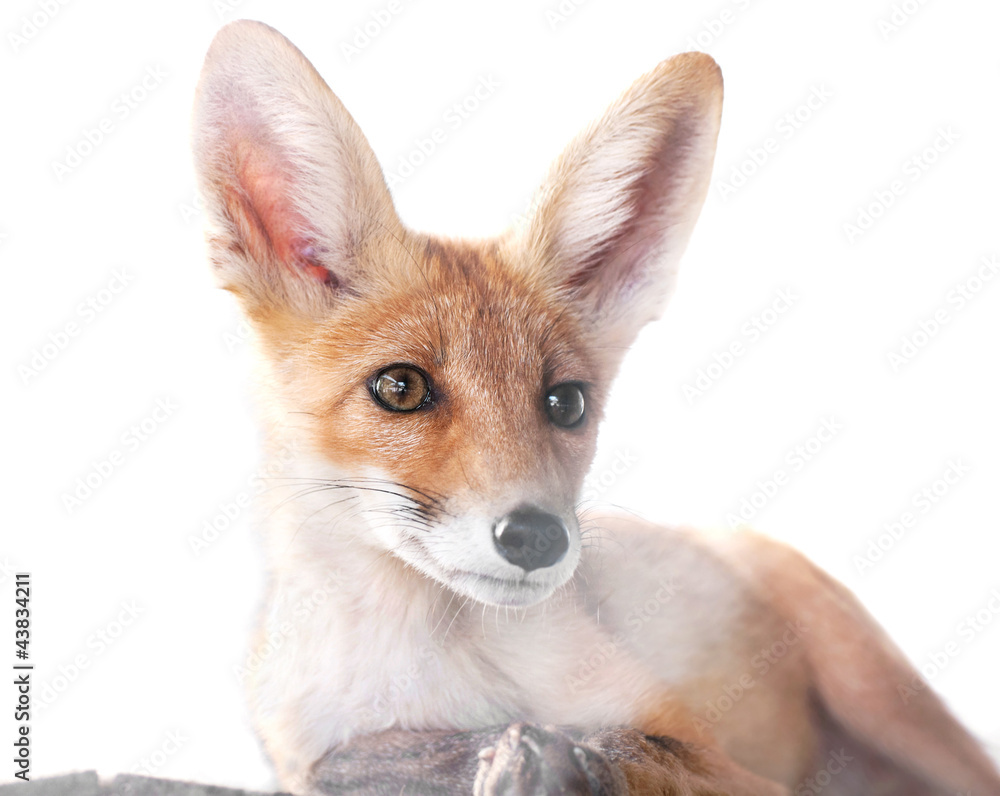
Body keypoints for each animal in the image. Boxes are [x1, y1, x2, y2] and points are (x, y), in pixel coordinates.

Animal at [191, 19, 1000, 796]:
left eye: (566, 402)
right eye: (401, 389)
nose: (536, 537)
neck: (431, 686)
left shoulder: (727, 764)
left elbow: (617, 746)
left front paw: (525, 758)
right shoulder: (302, 755)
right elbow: (357, 764)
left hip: (881, 698)